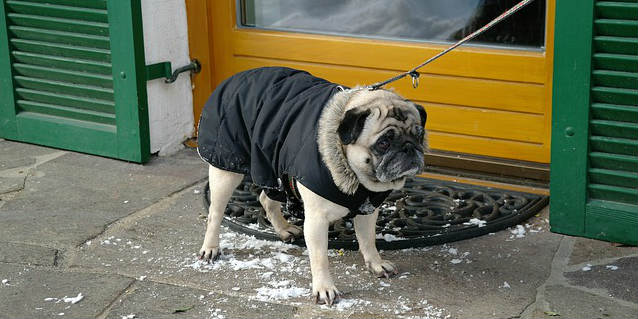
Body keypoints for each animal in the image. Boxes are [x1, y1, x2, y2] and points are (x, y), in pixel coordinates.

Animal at [198, 66, 428, 306]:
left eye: (420, 135)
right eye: (383, 143)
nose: (409, 148)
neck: (355, 179)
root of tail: (237, 77)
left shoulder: (367, 209)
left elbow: (368, 240)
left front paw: (376, 263)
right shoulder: (317, 219)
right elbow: (319, 257)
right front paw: (324, 288)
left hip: (272, 162)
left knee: (266, 199)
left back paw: (283, 229)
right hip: (226, 169)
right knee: (215, 213)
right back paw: (211, 248)